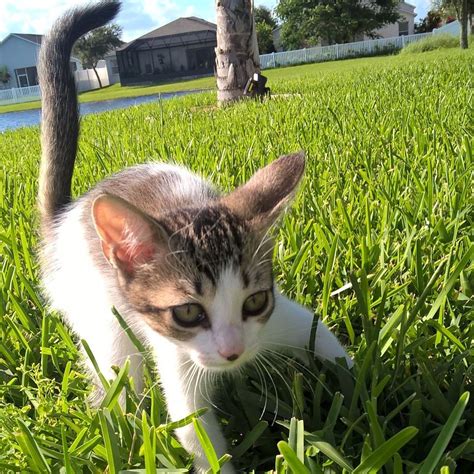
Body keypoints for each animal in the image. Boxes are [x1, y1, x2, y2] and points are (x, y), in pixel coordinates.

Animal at [37, 1, 352, 472]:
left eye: (254, 301)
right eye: (187, 313)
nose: (233, 353)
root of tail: (66, 215)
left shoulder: (278, 319)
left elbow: (330, 343)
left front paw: (364, 395)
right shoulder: (176, 355)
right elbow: (193, 430)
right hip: (101, 320)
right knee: (118, 372)